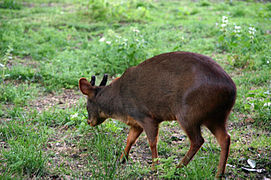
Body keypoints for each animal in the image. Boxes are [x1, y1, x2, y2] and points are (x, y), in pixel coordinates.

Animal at [78, 51, 236, 178]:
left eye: (87, 105)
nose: (89, 121)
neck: (120, 104)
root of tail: (232, 90)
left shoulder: (147, 116)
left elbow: (152, 142)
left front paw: (154, 167)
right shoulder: (136, 121)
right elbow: (130, 139)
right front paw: (122, 158)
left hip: (187, 114)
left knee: (198, 140)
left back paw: (178, 168)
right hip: (217, 116)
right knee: (225, 138)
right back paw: (219, 173)